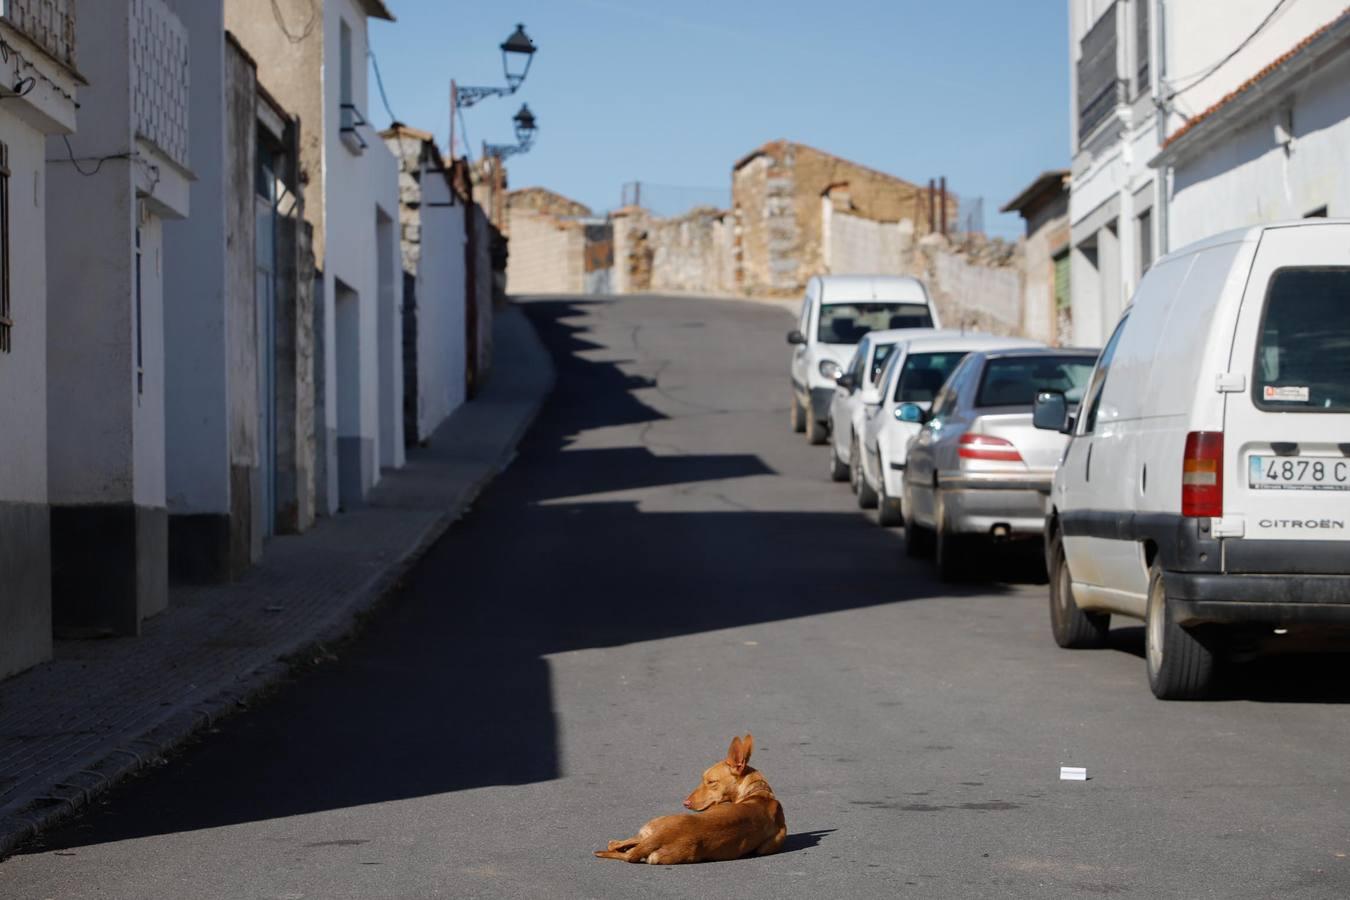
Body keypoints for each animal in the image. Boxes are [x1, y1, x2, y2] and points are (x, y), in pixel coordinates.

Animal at [594, 734, 788, 868]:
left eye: (711, 781)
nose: (685, 803)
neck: (759, 794)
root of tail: (661, 836)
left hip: (652, 825)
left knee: (620, 845)